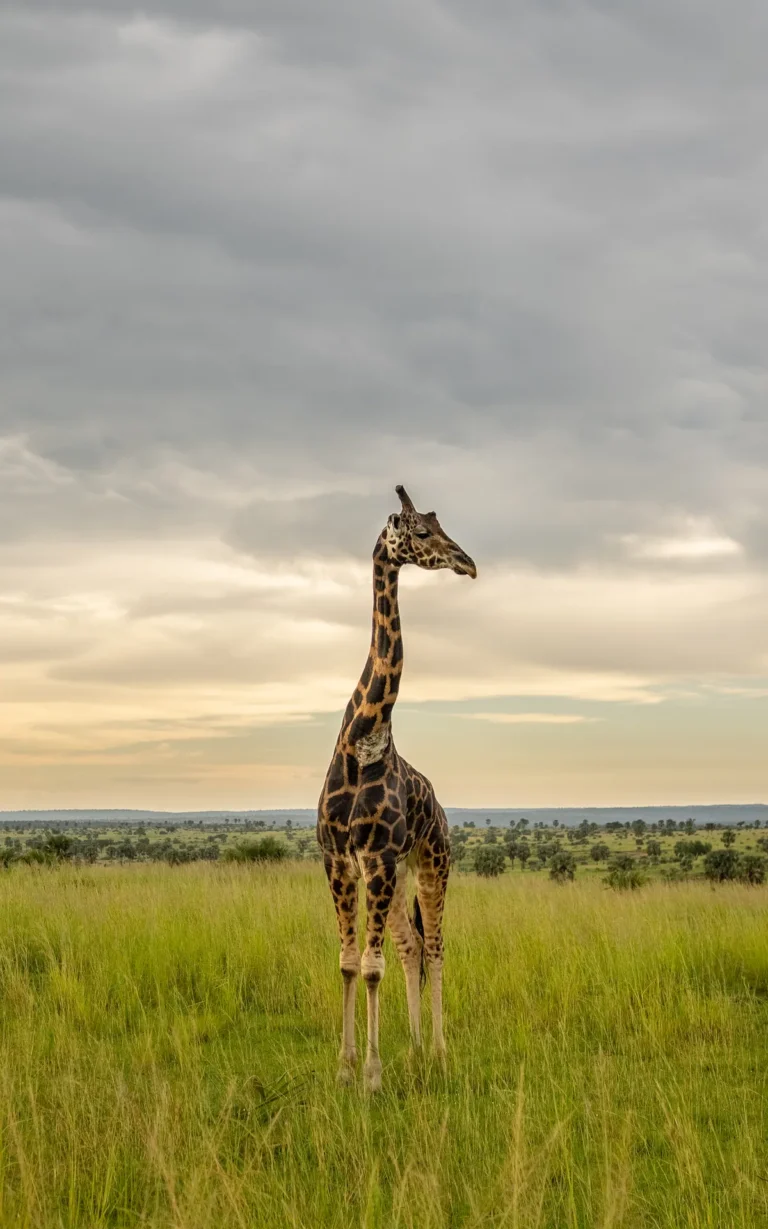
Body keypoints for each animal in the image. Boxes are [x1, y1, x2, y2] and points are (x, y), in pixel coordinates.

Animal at [317, 484, 476, 1091]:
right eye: (423, 531)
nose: (467, 563)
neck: (363, 738)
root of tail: (442, 809)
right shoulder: (340, 861)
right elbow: (348, 963)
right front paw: (345, 1067)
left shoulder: (379, 858)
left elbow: (371, 967)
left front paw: (372, 1075)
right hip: (404, 870)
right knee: (412, 948)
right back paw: (413, 1049)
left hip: (433, 863)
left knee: (435, 947)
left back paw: (439, 1053)